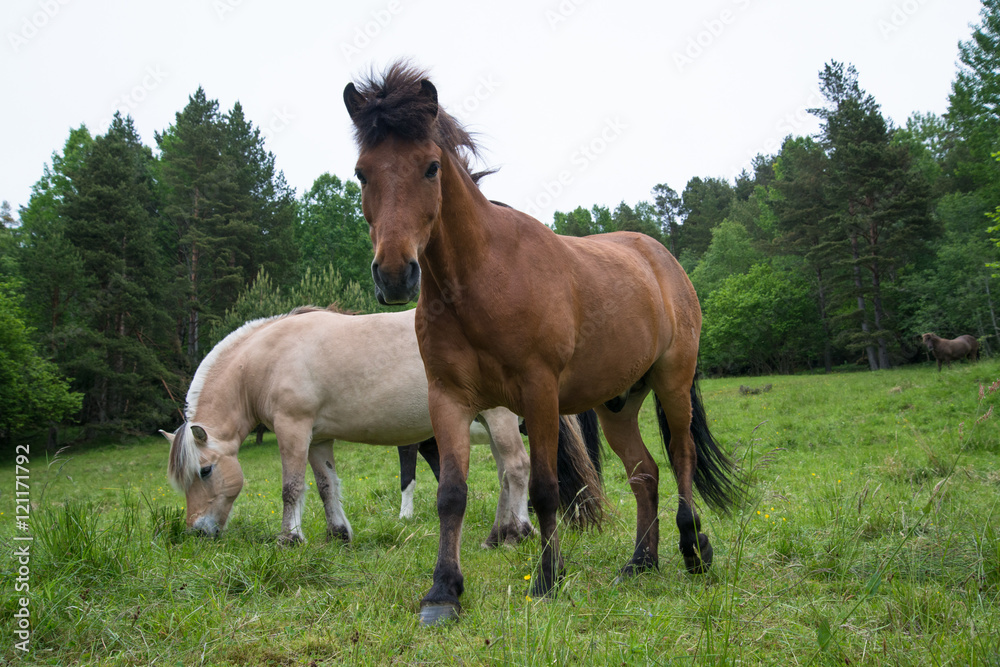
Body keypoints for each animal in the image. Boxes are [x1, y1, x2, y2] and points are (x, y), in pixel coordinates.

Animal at [164, 308, 600, 548]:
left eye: (205, 470)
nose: (197, 532)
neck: (266, 358)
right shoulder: (318, 439)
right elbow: (326, 485)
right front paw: (337, 533)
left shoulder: (293, 429)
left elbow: (291, 487)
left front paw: (290, 538)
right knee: (506, 473)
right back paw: (501, 532)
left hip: (499, 417)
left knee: (516, 467)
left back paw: (513, 533)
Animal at [344, 64, 744, 628]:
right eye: (362, 172)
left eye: (430, 168)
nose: (396, 275)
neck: (482, 279)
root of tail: (661, 258)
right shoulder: (447, 398)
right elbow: (451, 495)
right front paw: (443, 591)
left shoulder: (539, 396)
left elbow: (544, 489)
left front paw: (548, 579)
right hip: (618, 405)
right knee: (645, 472)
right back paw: (640, 563)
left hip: (673, 383)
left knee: (681, 455)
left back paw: (693, 549)